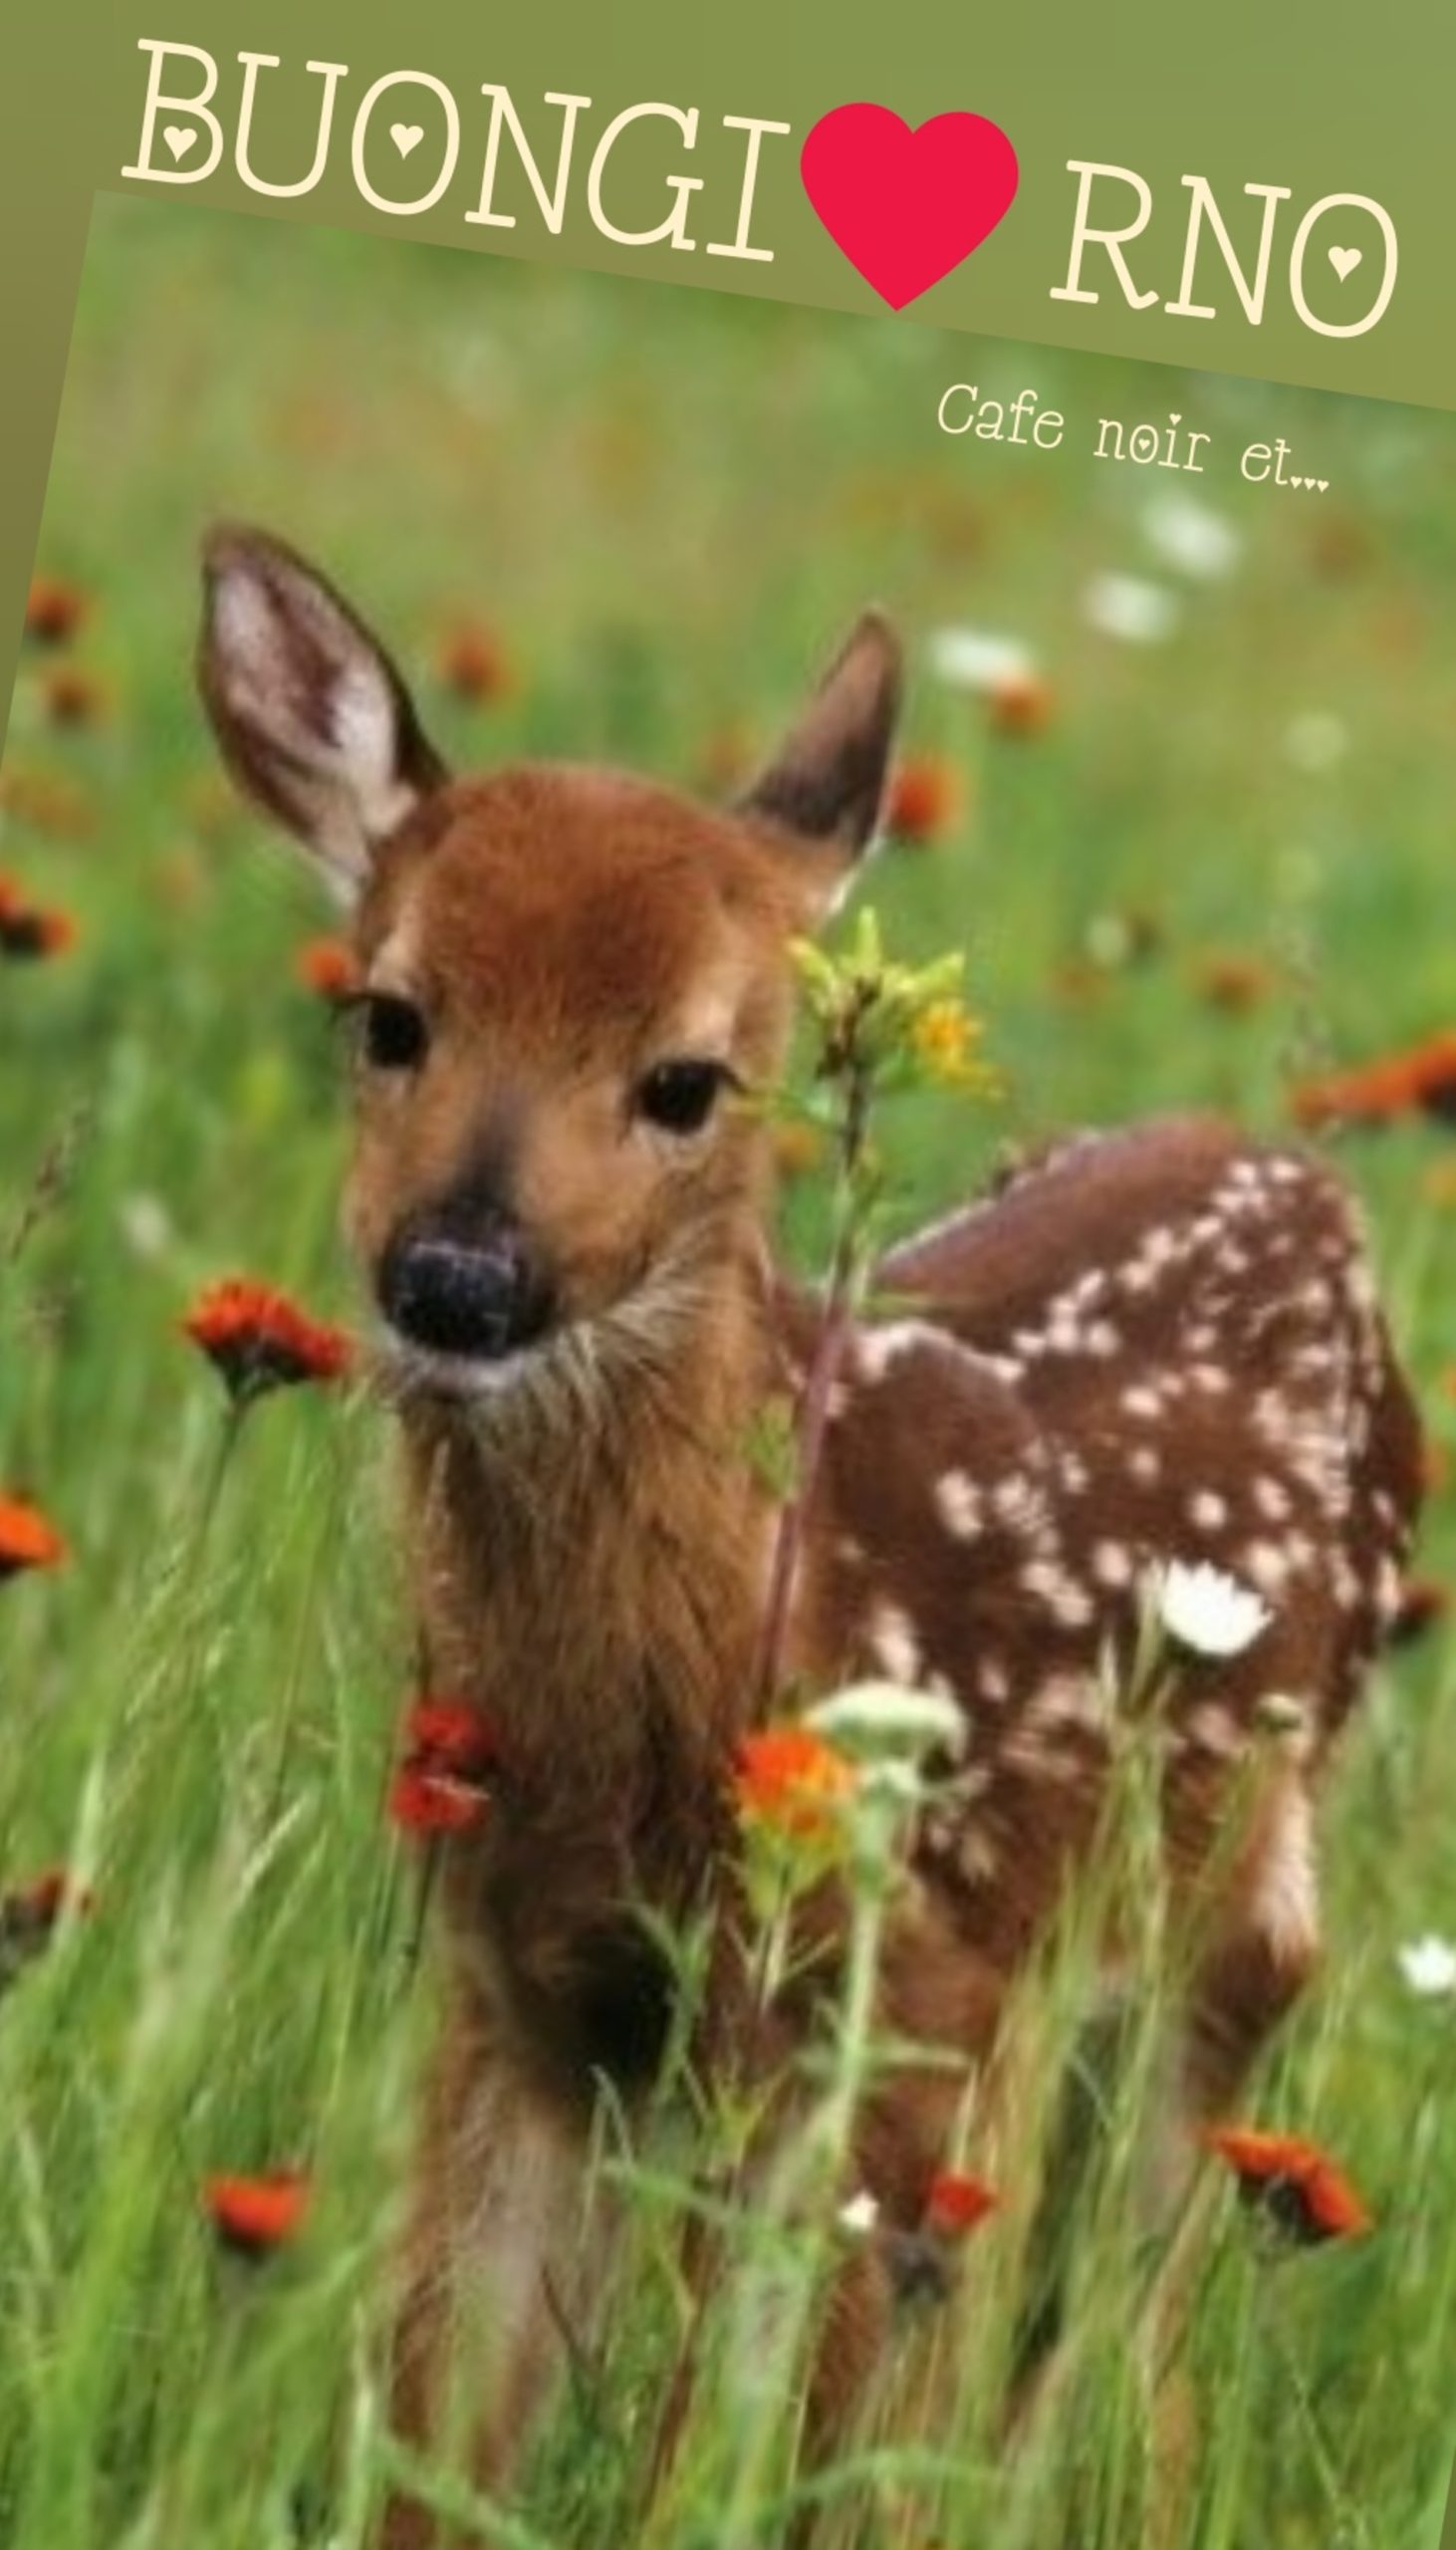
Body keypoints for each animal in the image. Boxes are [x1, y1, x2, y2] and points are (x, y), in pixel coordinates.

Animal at [198, 527, 1417, 2539]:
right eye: (387, 1016)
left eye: (687, 1080)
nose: (458, 1279)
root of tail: (1300, 1173)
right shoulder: (518, 1991)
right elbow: (443, 2430)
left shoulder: (889, 2012)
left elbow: (760, 2453)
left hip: (1239, 1919)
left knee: (1135, 2329)